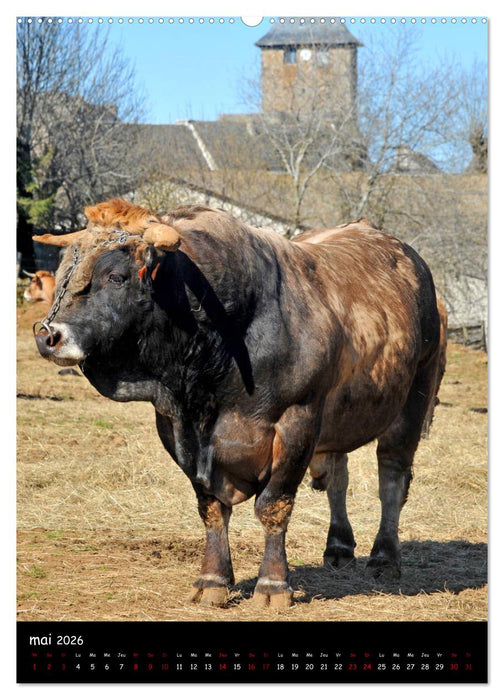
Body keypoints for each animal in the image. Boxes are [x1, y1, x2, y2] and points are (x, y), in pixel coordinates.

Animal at [32, 199, 443, 608]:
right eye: (63, 271)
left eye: (115, 277)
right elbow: (212, 508)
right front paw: (213, 578)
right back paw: (338, 547)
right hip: (337, 418)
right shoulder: (178, 428)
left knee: (391, 478)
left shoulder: (296, 423)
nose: (48, 335)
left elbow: (273, 506)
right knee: (335, 474)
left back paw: (384, 558)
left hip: (412, 400)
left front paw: (273, 584)